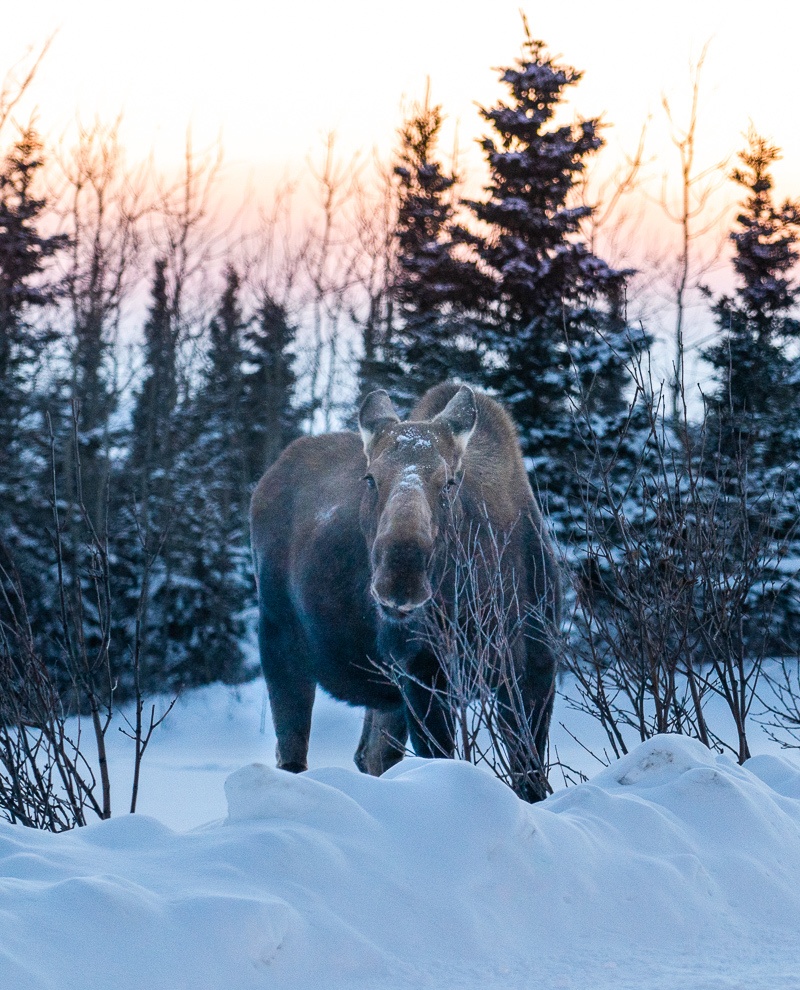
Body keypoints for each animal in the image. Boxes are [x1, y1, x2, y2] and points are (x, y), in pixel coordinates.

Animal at [252, 384, 564, 804]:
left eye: (449, 481)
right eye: (369, 478)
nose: (401, 579)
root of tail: (268, 477)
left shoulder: (536, 669)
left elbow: (531, 781)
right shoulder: (422, 671)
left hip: (385, 690)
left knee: (370, 753)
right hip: (280, 642)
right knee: (293, 755)